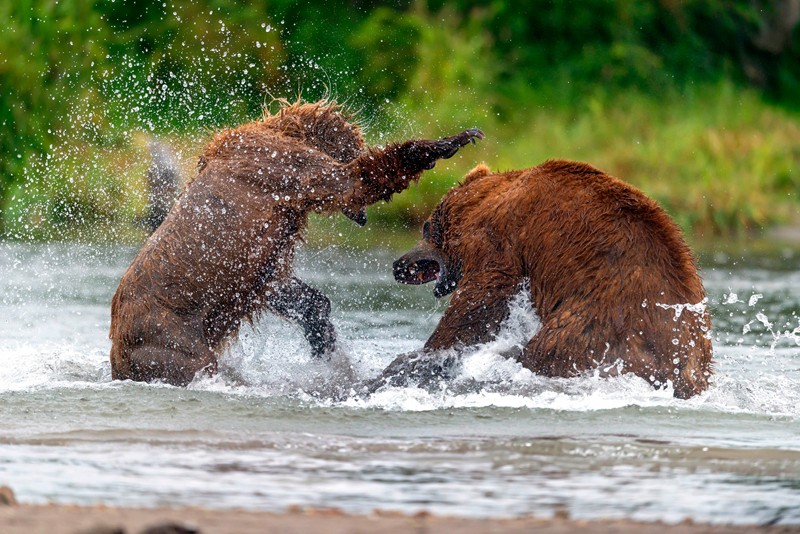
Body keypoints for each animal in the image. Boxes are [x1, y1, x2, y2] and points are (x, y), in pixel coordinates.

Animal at [106, 99, 482, 386]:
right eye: (356, 147)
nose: (361, 217)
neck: (285, 131)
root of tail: (116, 347)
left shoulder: (262, 263)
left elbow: (289, 291)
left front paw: (324, 343)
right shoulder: (282, 167)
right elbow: (352, 180)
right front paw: (453, 140)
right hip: (169, 336)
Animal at [368, 161, 712, 400]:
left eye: (426, 227)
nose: (399, 265)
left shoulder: (498, 239)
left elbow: (482, 297)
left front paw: (425, 354)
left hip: (596, 323)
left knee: (546, 350)